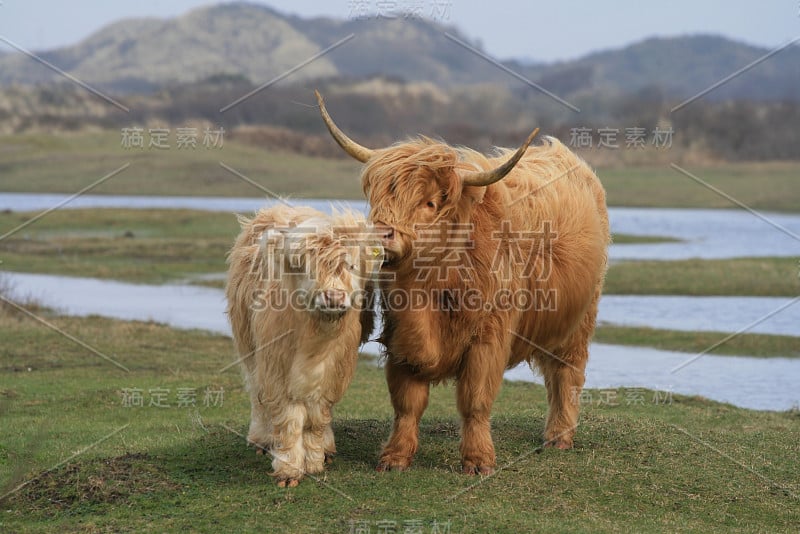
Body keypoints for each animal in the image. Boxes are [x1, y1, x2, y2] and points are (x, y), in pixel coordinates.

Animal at [225, 206, 384, 490]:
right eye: (306, 267)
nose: (333, 297)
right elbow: (289, 420)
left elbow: (317, 418)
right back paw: (261, 440)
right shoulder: (276, 369)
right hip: (249, 348)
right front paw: (288, 469)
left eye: (351, 265)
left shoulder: (335, 371)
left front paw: (314, 460)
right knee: (257, 395)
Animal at [316, 92, 608, 478]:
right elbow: (407, 402)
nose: (383, 233)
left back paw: (559, 437)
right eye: (378, 199)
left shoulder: (488, 338)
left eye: (430, 203)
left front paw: (479, 461)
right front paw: (395, 458)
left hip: (579, 322)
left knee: (567, 375)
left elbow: (475, 400)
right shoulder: (400, 338)